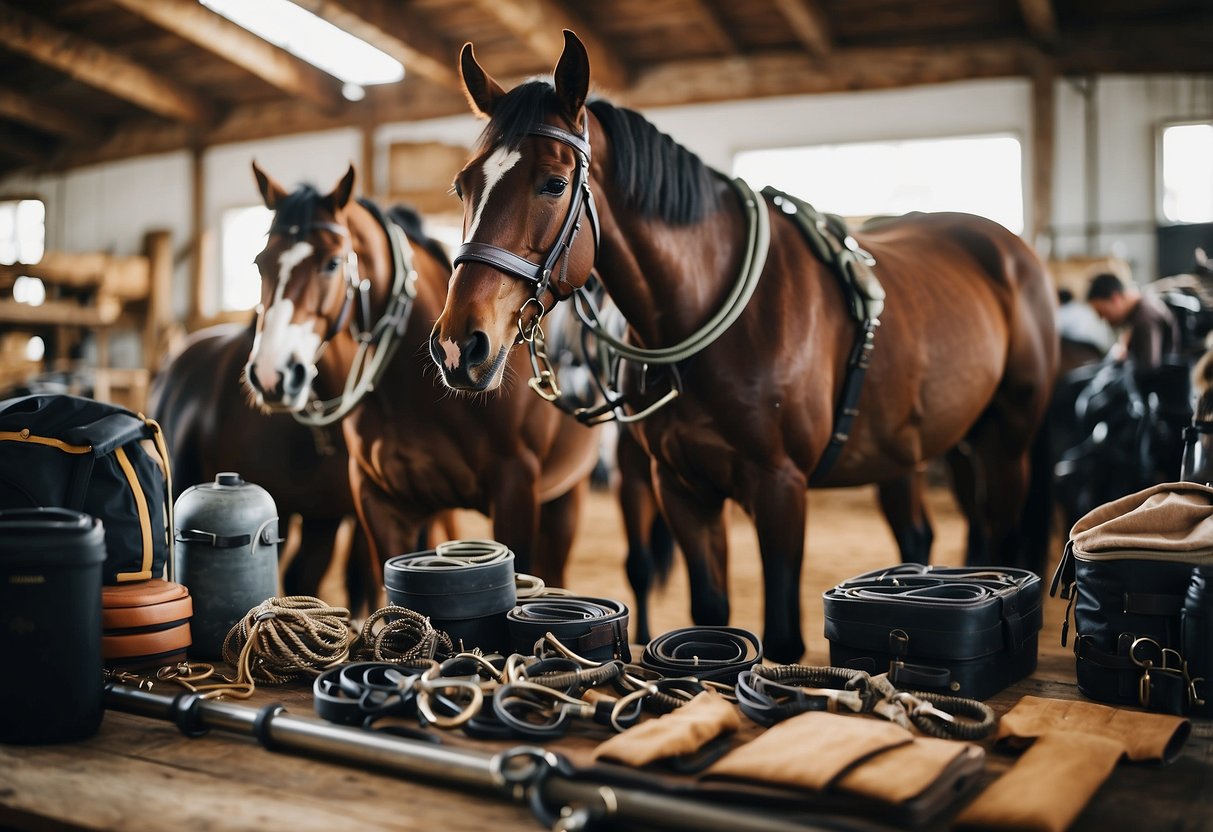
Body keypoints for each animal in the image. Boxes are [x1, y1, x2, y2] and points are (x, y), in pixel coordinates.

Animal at [242, 164, 601, 587]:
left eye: (331, 263)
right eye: (259, 263)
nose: (271, 374)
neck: (420, 395)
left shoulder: (516, 492)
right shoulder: (381, 503)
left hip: (565, 499)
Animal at [431, 32, 1057, 659]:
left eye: (554, 183)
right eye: (462, 185)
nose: (461, 344)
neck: (710, 323)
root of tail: (1012, 250)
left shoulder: (780, 488)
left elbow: (781, 636)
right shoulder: (682, 490)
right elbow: (710, 613)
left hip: (1006, 440)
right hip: (914, 449)